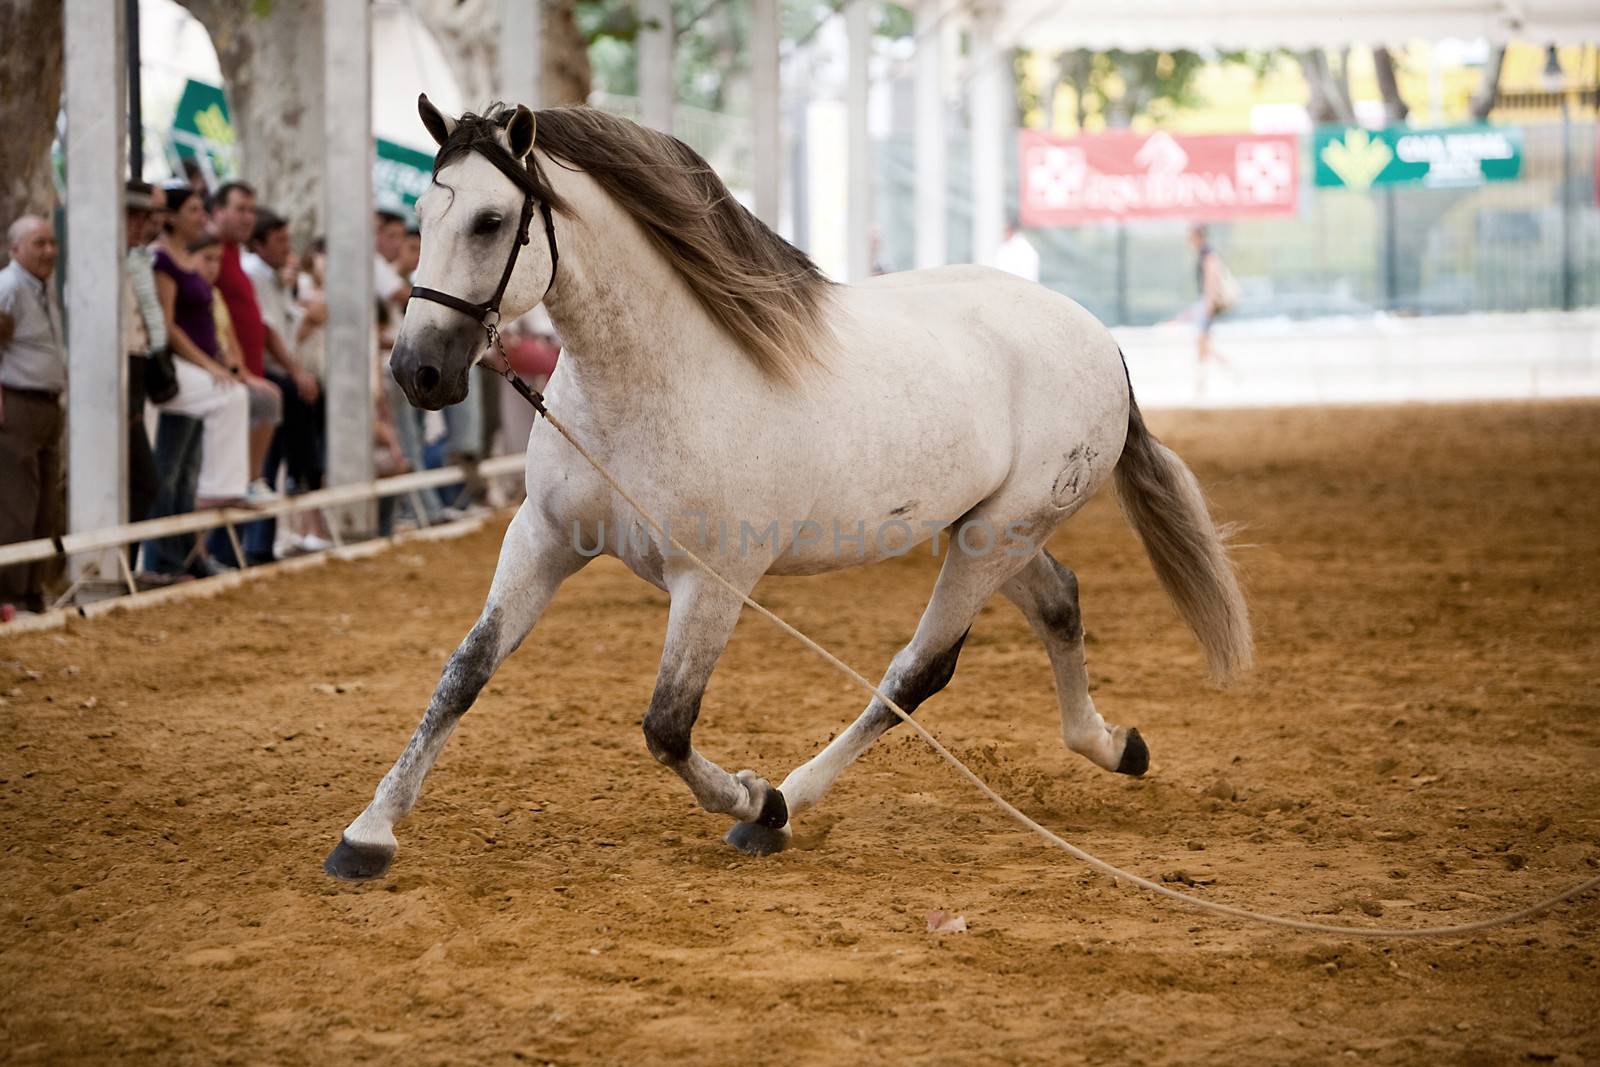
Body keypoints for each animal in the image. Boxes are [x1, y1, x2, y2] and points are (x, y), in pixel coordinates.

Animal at [324, 97, 1248, 883]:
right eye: (421, 217)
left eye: (489, 221)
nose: (417, 372)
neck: (657, 379)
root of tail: (1097, 337)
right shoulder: (543, 540)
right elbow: (465, 672)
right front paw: (367, 834)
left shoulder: (713, 584)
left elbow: (667, 725)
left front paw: (752, 793)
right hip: (985, 530)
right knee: (1058, 601)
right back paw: (1114, 744)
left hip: (996, 538)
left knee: (916, 672)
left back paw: (783, 807)